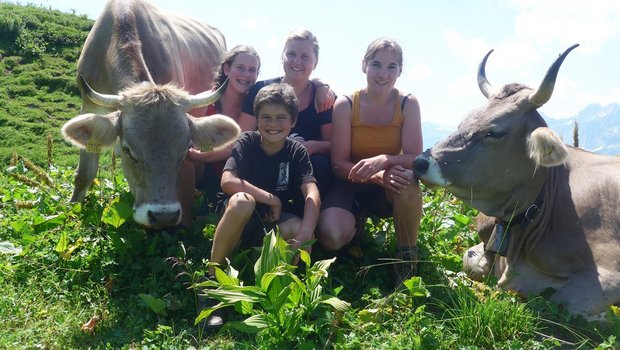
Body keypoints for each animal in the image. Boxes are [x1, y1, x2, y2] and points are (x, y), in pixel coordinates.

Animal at [61, 0, 240, 228]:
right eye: (129, 151)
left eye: (185, 150)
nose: (163, 216)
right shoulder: (89, 107)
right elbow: (84, 175)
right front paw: (71, 212)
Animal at [414, 44, 620, 320]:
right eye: (462, 122)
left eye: (494, 132)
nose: (419, 162)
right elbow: (470, 260)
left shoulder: (608, 273)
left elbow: (565, 302)